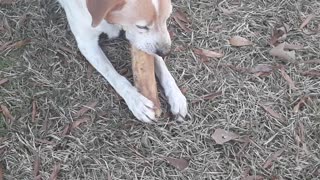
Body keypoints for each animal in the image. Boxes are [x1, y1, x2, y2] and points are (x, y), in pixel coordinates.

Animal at [57, 0, 188, 122]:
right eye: (141, 26)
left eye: (166, 18)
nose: (166, 52)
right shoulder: (87, 44)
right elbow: (114, 76)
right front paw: (136, 101)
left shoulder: (141, 42)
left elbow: (162, 67)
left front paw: (176, 96)